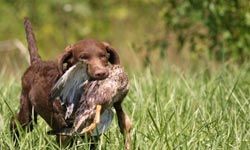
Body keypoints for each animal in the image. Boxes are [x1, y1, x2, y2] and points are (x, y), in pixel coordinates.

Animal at [10, 17, 132, 148]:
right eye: (83, 58)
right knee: (15, 123)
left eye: (103, 56)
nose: (101, 73)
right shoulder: (64, 132)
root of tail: (36, 62)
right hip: (27, 112)